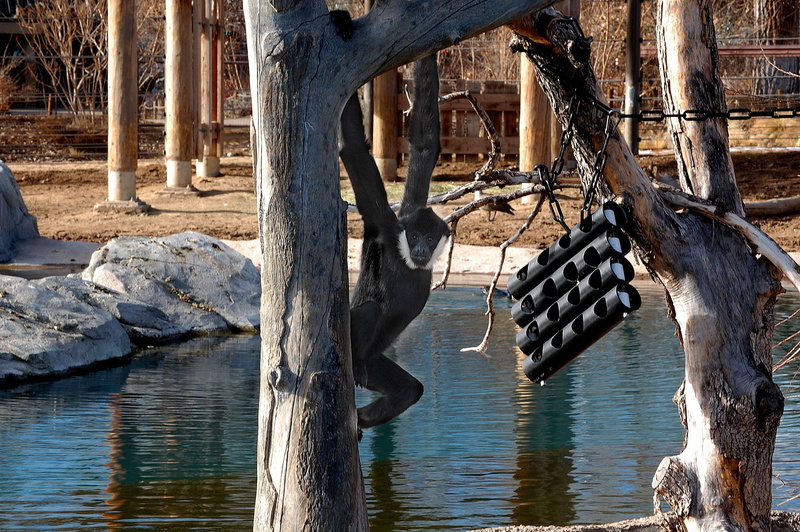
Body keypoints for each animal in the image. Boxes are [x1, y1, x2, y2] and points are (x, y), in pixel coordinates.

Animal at [339, 54, 450, 430]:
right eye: (413, 236)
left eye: (429, 237)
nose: (420, 248)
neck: (405, 258)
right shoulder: (386, 225)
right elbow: (354, 148)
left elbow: (426, 146)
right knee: (370, 310)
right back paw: (357, 364)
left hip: (378, 364)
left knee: (409, 390)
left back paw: (360, 419)